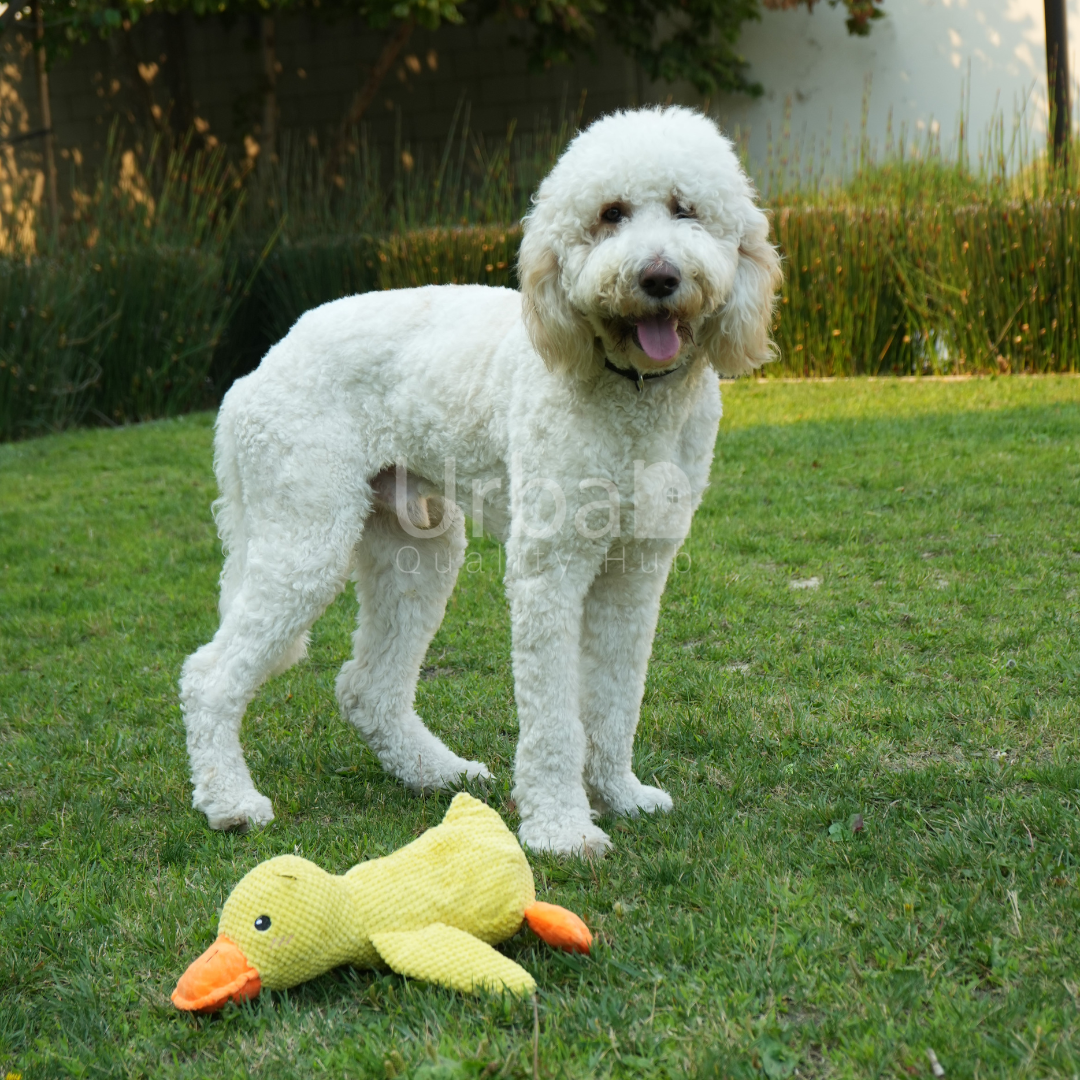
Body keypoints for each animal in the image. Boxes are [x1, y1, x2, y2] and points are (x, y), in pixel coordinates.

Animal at [181, 105, 781, 855]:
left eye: (686, 210)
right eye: (610, 214)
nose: (658, 278)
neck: (629, 390)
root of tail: (264, 363)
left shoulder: (635, 571)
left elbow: (616, 698)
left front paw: (618, 795)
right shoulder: (549, 571)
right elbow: (554, 716)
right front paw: (561, 829)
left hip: (417, 551)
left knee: (366, 687)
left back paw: (435, 773)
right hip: (305, 538)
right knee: (209, 677)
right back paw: (230, 802)